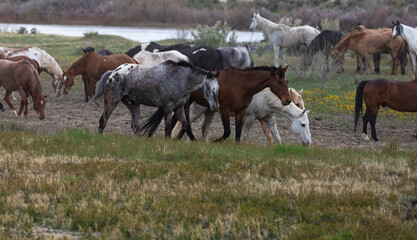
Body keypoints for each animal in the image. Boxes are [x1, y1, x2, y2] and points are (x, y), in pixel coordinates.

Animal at [171, 87, 310, 145]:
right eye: (303, 124)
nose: (308, 142)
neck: (264, 97)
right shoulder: (249, 118)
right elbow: (244, 135)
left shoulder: (268, 118)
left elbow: (276, 136)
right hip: (195, 111)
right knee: (181, 125)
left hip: (209, 112)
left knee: (204, 129)